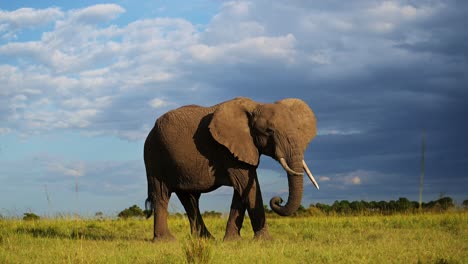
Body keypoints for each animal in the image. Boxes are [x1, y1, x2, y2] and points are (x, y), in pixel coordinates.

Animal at [143, 97, 318, 241]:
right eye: (269, 131)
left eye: (298, 130)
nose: (278, 200)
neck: (256, 106)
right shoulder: (228, 150)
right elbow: (248, 186)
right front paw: (265, 241)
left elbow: (242, 190)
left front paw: (233, 241)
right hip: (154, 155)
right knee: (161, 195)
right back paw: (166, 240)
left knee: (190, 199)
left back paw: (206, 239)